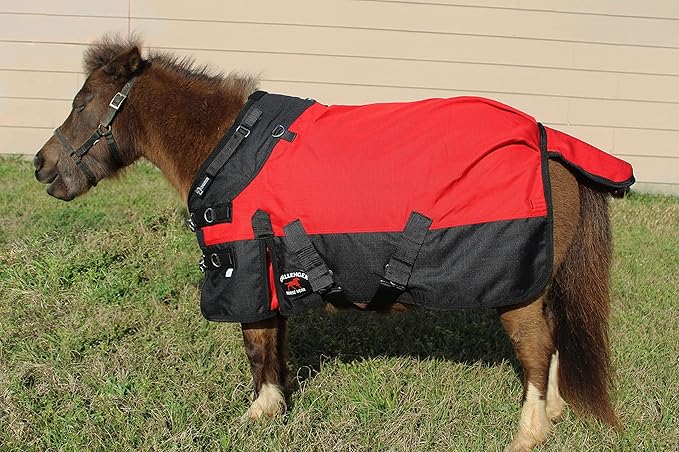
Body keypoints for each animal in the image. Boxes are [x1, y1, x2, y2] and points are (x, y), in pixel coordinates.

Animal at [33, 36, 620, 451]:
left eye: (83, 102)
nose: (41, 166)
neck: (227, 146)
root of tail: (551, 145)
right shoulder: (274, 276)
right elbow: (275, 343)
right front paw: (278, 402)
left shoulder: (246, 271)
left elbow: (256, 344)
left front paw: (258, 413)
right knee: (554, 340)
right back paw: (555, 413)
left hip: (519, 289)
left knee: (536, 347)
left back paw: (529, 432)